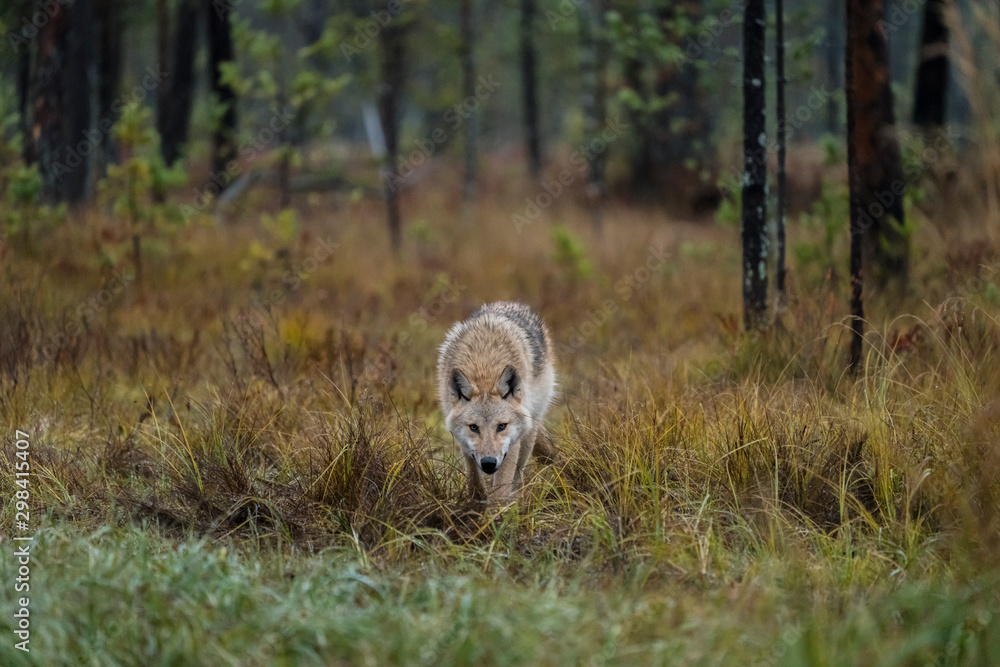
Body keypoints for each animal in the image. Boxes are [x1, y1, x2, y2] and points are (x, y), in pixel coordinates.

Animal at [436, 300, 556, 504]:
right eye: (474, 427)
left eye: (502, 426)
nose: (489, 463)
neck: (484, 369)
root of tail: (509, 303)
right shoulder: (463, 441)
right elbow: (473, 476)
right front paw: (476, 501)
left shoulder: (512, 445)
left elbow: (501, 488)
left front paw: (498, 511)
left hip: (529, 432)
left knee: (518, 475)